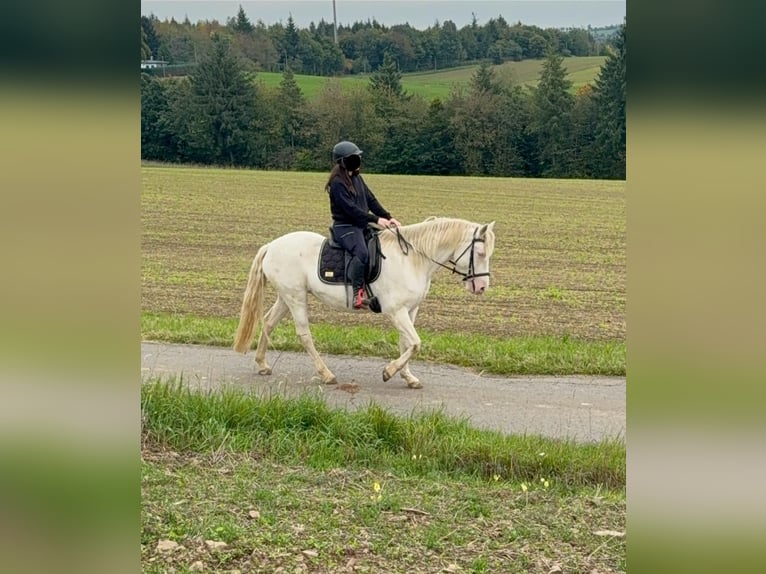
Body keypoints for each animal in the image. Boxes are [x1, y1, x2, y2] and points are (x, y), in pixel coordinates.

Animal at [233, 217, 496, 389]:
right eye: (481, 253)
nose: (482, 287)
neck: (413, 259)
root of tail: (272, 246)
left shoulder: (410, 310)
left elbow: (407, 343)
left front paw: (408, 377)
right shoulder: (395, 311)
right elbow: (415, 343)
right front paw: (389, 372)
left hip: (286, 297)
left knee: (268, 322)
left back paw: (262, 364)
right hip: (296, 297)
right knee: (304, 334)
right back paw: (327, 374)